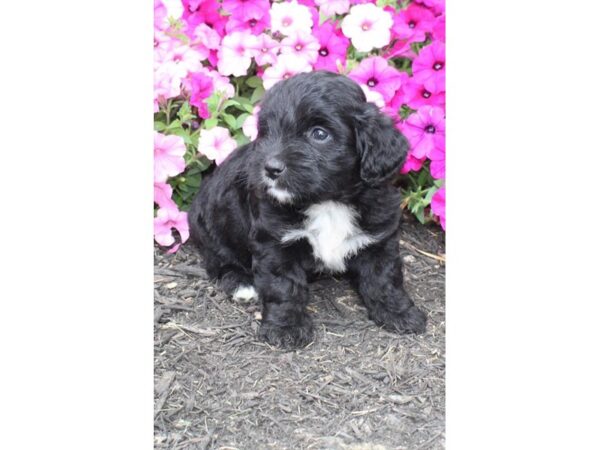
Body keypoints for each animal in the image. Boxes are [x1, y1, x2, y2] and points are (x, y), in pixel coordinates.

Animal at [188, 72, 426, 350]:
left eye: (319, 134)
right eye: (267, 132)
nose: (271, 168)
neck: (327, 201)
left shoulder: (379, 236)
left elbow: (384, 277)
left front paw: (399, 313)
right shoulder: (275, 243)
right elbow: (283, 287)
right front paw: (285, 328)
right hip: (211, 225)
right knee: (219, 260)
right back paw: (241, 283)